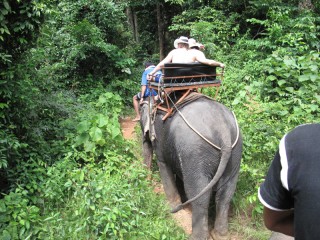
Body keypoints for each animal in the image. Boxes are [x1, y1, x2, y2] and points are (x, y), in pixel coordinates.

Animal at [140, 93, 242, 240]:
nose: (146, 179)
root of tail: (224, 132)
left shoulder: (159, 137)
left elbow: (163, 164)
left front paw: (172, 207)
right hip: (235, 153)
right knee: (225, 194)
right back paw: (220, 235)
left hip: (195, 152)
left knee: (200, 194)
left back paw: (197, 236)